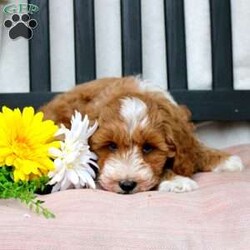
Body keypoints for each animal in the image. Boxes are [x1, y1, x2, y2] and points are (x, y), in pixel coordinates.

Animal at [39, 76, 244, 193]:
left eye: (148, 148)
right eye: (111, 146)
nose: (127, 185)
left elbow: (193, 147)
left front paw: (224, 159)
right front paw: (176, 181)